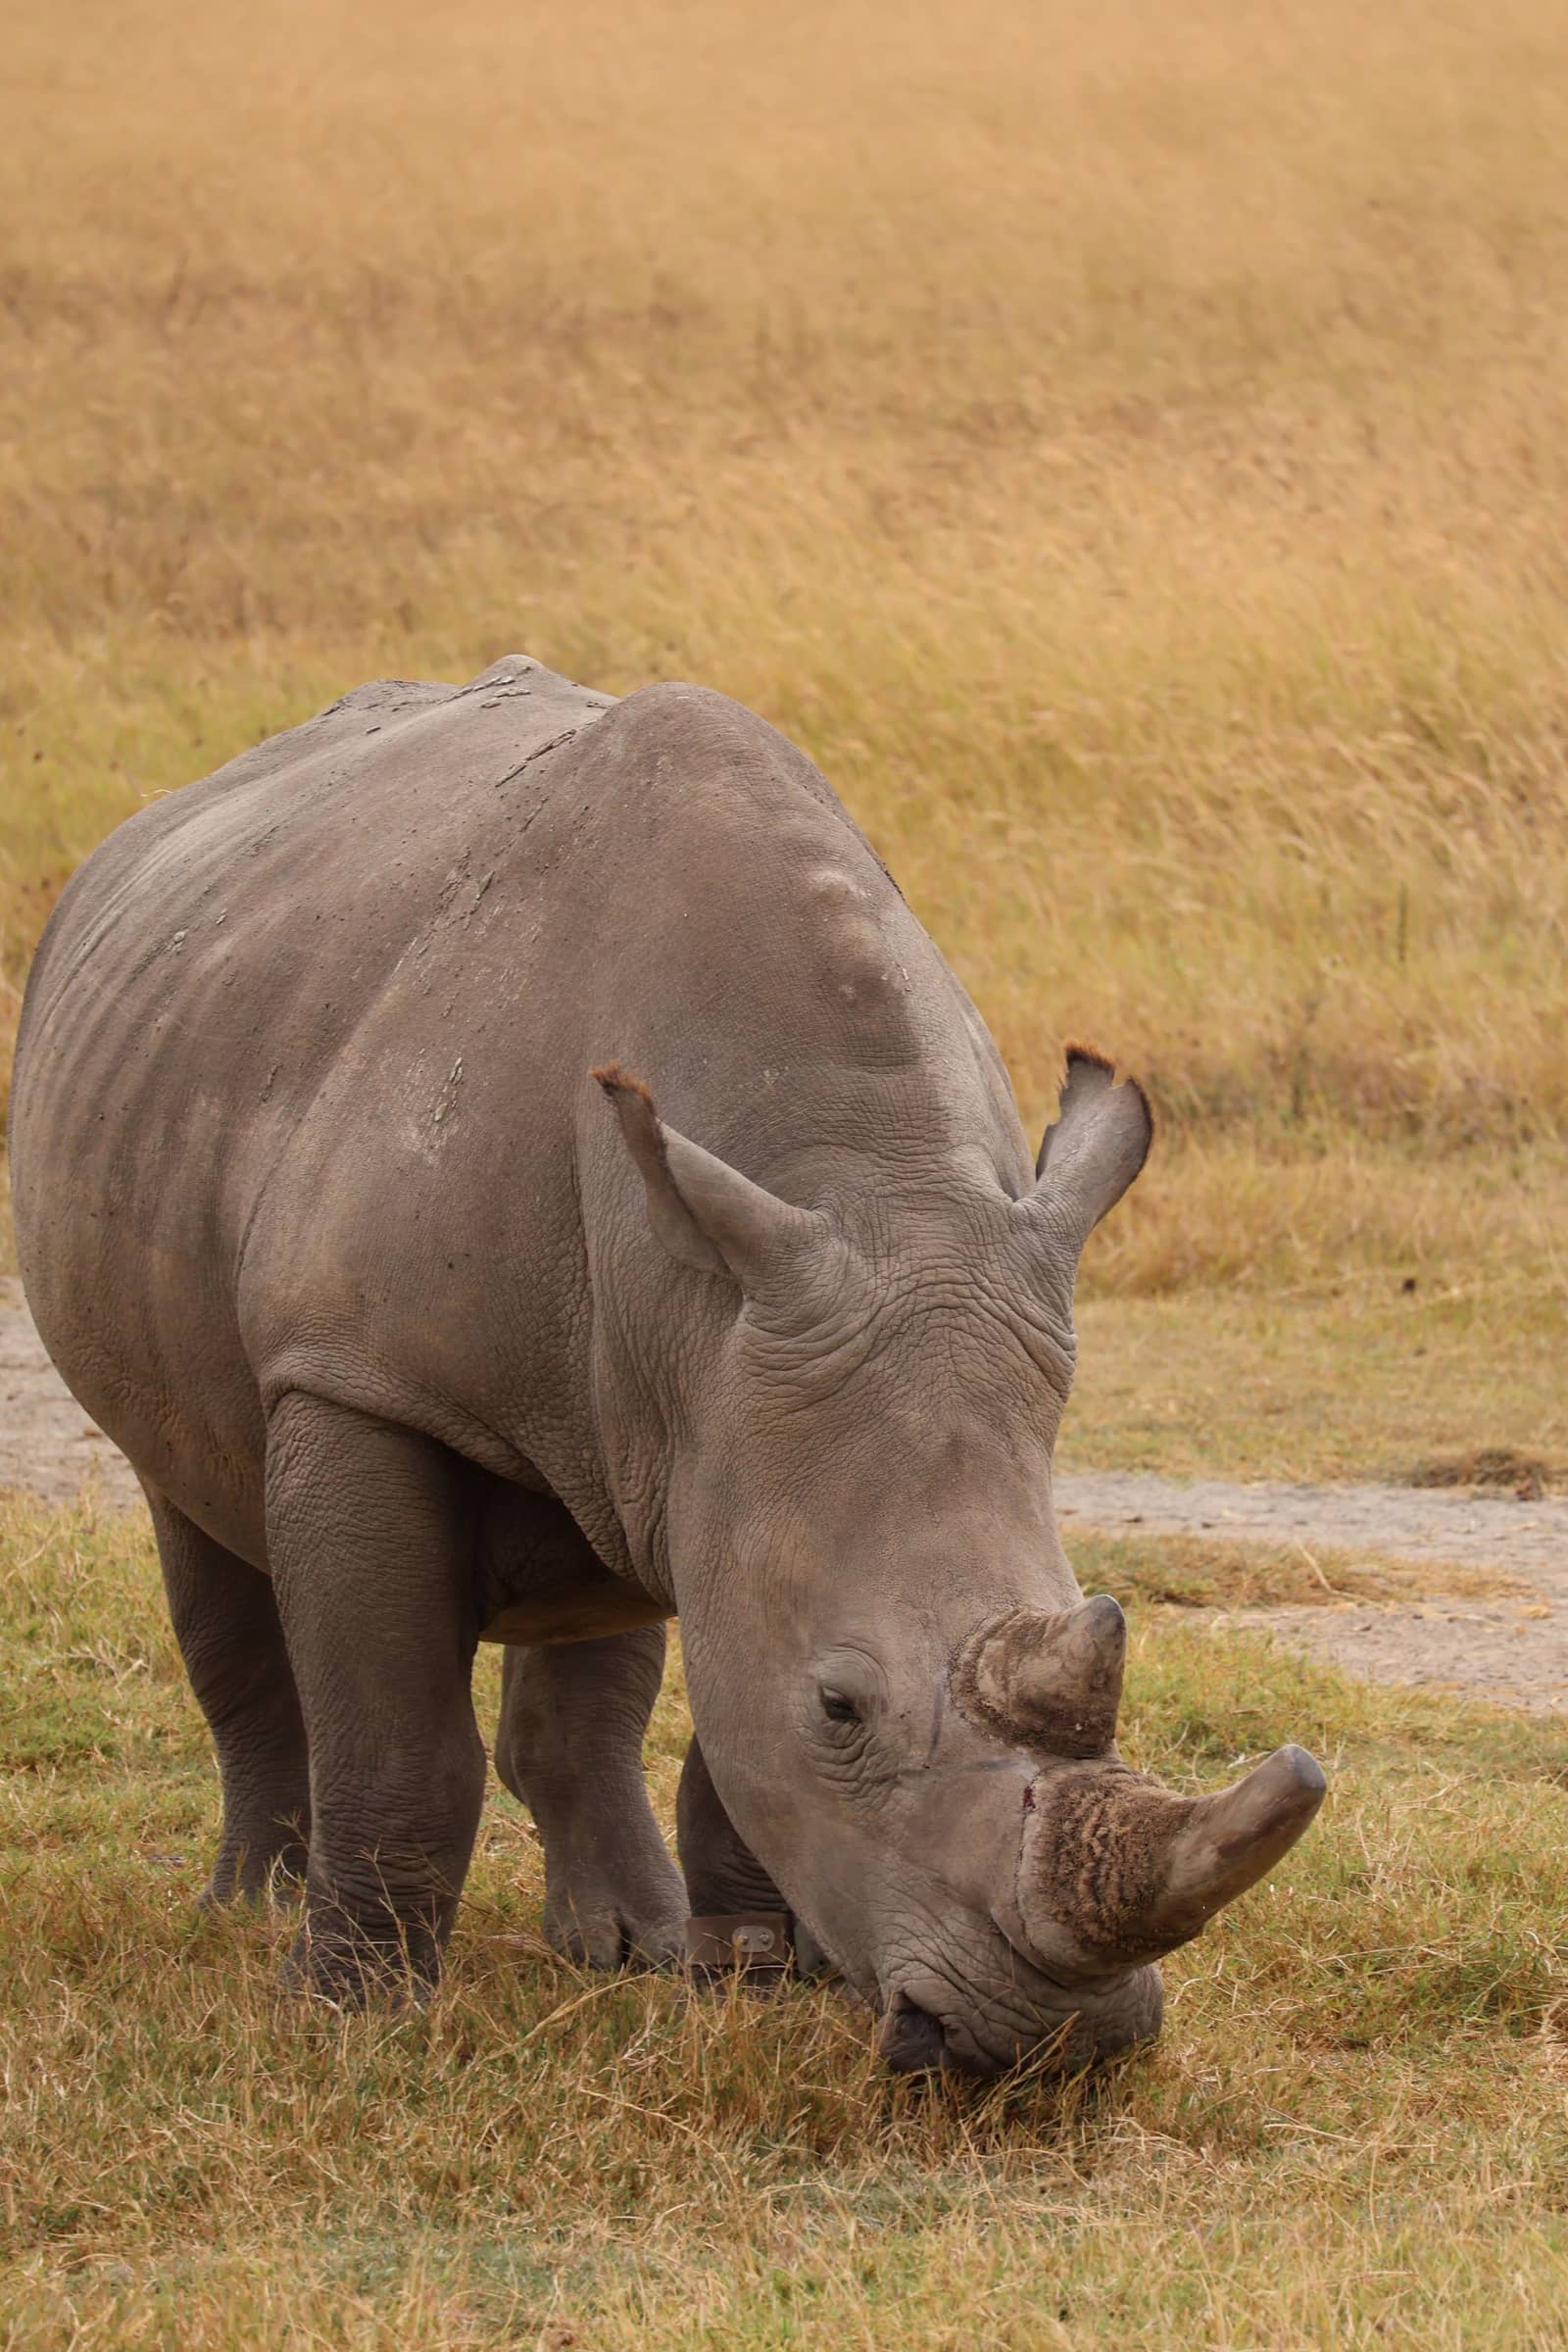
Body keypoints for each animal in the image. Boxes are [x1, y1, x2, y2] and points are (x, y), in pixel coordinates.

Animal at [10, 656, 1325, 2074]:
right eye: (841, 1708)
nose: (1057, 2047)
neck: (870, 1181)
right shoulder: (356, 1376)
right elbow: (398, 1732)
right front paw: (349, 2015)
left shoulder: (737, 1385)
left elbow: (725, 1686)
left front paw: (753, 1974)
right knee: (195, 1517)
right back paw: (250, 1915)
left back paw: (625, 1950)